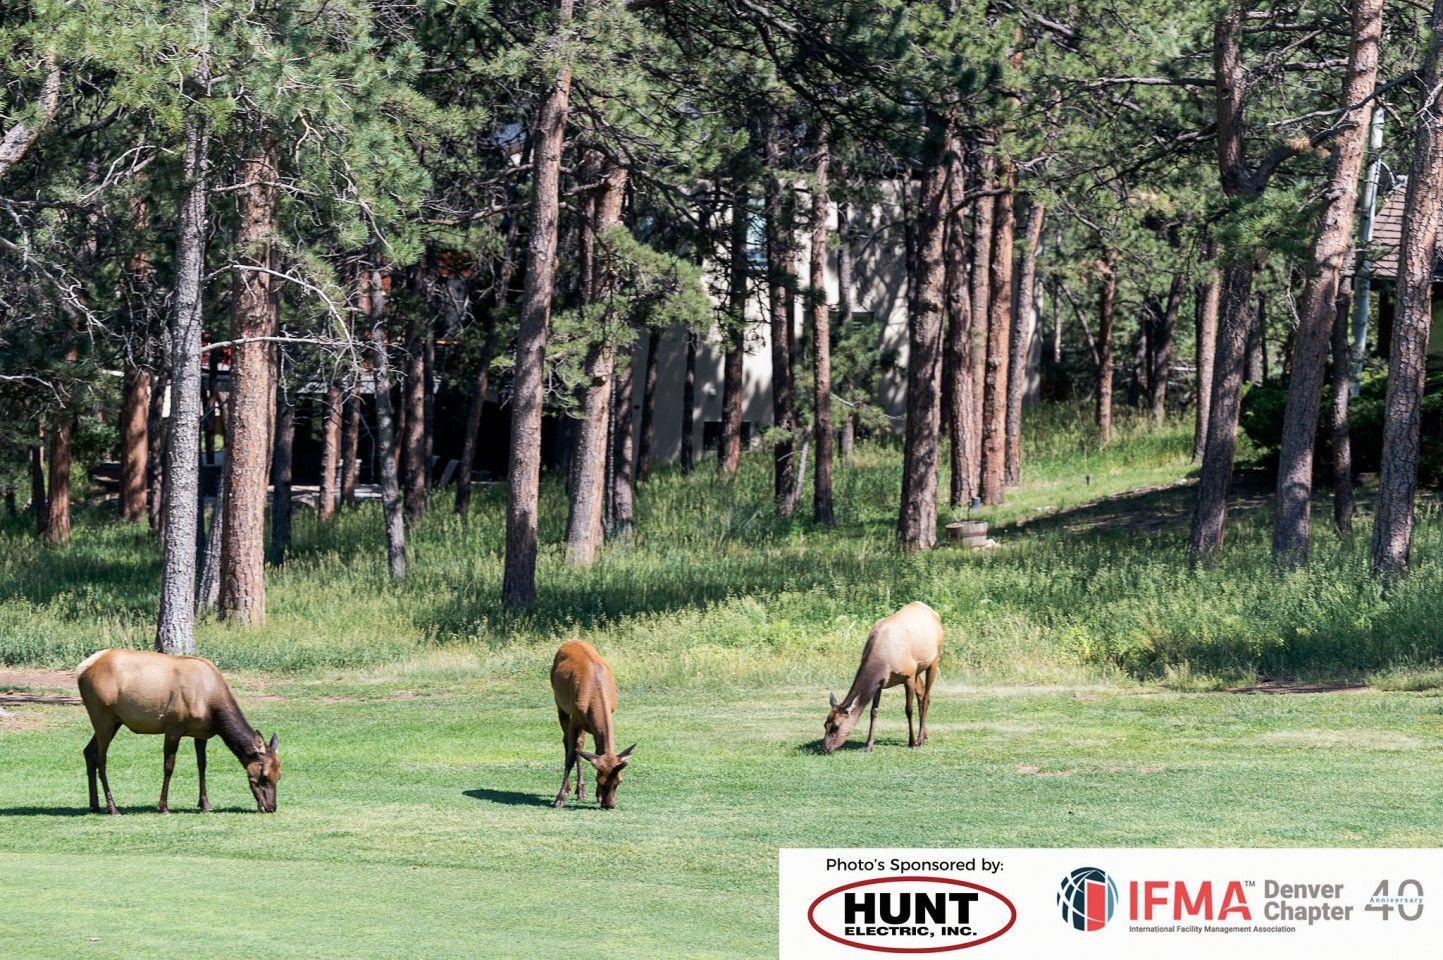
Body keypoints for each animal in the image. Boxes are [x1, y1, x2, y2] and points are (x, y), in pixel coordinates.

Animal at [76, 648, 281, 815]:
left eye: (279, 775)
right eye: (263, 776)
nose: (271, 807)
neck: (212, 705)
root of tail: (81, 669)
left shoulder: (201, 733)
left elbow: (202, 765)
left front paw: (205, 804)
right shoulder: (173, 727)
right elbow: (169, 766)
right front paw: (163, 807)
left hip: (115, 721)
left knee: (89, 751)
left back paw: (94, 804)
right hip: (102, 716)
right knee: (101, 758)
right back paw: (112, 808)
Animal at [550, 640, 635, 810]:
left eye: (619, 781)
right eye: (600, 781)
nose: (609, 805)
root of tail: (571, 641)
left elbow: (595, 750)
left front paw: (597, 795)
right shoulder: (575, 717)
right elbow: (570, 756)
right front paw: (559, 799)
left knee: (579, 745)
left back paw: (580, 790)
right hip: (560, 703)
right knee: (567, 742)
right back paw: (569, 789)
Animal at [821, 601, 943, 753]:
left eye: (836, 726)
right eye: (825, 724)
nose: (824, 748)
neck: (883, 662)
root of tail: (932, 611)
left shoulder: (908, 675)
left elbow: (908, 709)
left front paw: (911, 742)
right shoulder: (880, 683)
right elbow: (873, 712)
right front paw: (868, 745)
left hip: (934, 660)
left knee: (926, 697)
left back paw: (920, 740)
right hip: (918, 669)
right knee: (922, 693)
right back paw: (925, 735)